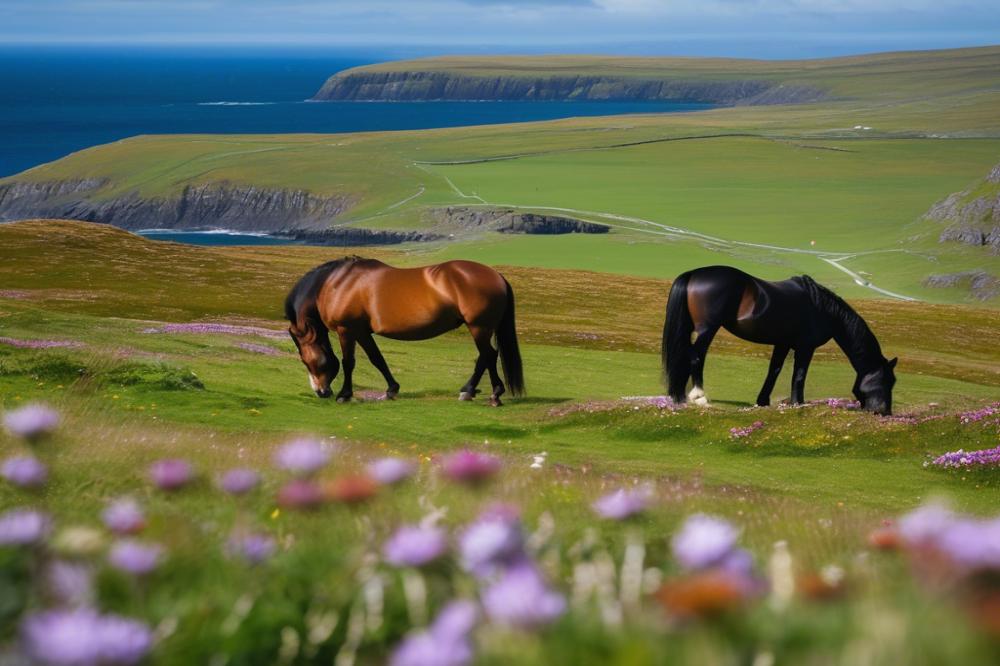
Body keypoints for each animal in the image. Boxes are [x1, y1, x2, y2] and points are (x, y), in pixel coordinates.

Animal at [284, 257, 524, 406]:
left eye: (305, 359)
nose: (321, 392)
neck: (336, 284)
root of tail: (497, 275)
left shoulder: (347, 330)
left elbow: (348, 362)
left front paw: (344, 395)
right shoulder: (362, 332)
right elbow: (377, 359)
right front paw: (391, 389)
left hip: (479, 327)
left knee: (489, 355)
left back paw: (492, 393)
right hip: (481, 328)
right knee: (486, 357)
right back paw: (470, 390)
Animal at [661, 266, 897, 415]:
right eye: (888, 380)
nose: (884, 412)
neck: (823, 308)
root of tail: (694, 274)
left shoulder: (783, 343)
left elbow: (774, 370)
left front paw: (762, 401)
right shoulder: (805, 347)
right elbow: (799, 375)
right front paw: (798, 403)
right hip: (707, 329)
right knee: (696, 356)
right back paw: (699, 396)